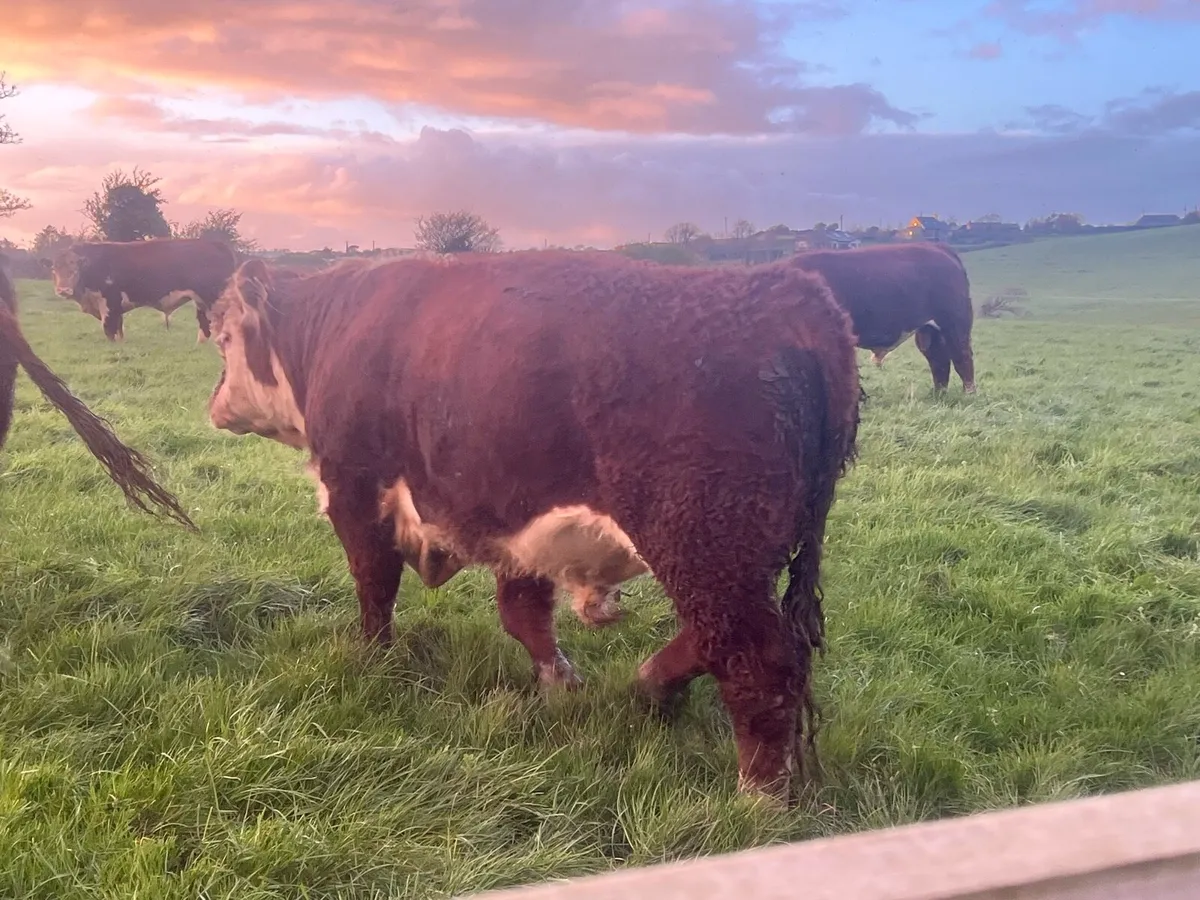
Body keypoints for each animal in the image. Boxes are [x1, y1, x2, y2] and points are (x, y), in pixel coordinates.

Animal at [51, 238, 237, 343]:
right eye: (54, 269)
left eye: (74, 270)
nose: (63, 290)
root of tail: (216, 244)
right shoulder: (116, 308)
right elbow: (119, 328)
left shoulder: (109, 303)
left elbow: (109, 328)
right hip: (201, 301)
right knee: (205, 322)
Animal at [202, 249, 862, 805]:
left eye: (226, 339)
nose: (214, 404)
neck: (332, 330)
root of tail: (791, 294)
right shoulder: (514, 525)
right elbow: (523, 613)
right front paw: (560, 685)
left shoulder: (356, 488)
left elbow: (374, 583)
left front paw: (373, 657)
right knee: (725, 638)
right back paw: (648, 687)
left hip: (706, 545)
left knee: (757, 656)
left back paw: (759, 796)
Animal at [789, 241, 977, 393]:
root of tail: (938, 247)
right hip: (929, 331)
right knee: (939, 359)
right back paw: (939, 394)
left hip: (955, 323)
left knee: (962, 358)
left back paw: (968, 394)